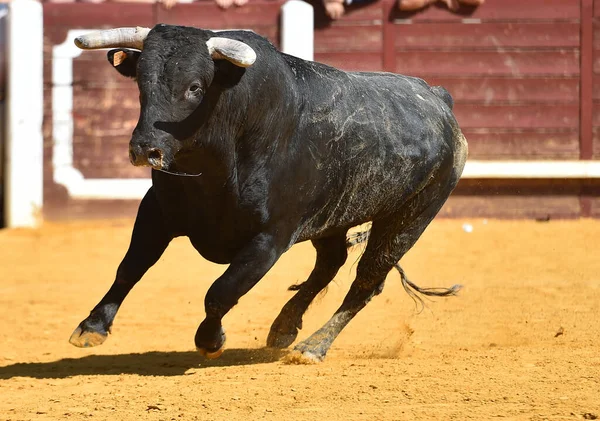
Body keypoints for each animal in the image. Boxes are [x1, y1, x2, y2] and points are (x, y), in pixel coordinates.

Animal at [68, 24, 466, 362]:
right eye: (142, 83)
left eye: (194, 86)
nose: (144, 149)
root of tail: (438, 97)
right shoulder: (157, 211)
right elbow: (130, 267)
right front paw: (92, 327)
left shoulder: (271, 238)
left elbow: (221, 291)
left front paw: (210, 341)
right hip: (333, 216)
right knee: (330, 262)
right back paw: (283, 329)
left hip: (411, 218)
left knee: (367, 279)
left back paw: (313, 347)